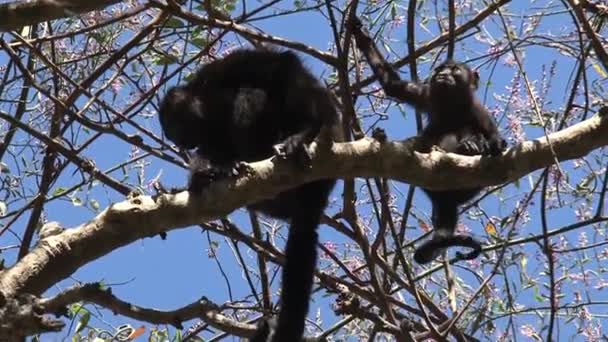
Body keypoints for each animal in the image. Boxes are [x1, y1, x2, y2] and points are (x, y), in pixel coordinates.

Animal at [158, 48, 342, 342]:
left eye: (175, 128)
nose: (180, 143)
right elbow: (212, 148)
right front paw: (204, 173)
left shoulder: (223, 69)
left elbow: (281, 65)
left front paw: (304, 132)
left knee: (252, 94)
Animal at [350, 18, 506, 264]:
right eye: (440, 69)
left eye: (454, 69)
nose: (442, 73)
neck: (452, 103)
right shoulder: (427, 95)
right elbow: (394, 86)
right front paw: (361, 34)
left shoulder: (478, 110)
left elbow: (491, 133)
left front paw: (494, 143)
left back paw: (471, 145)